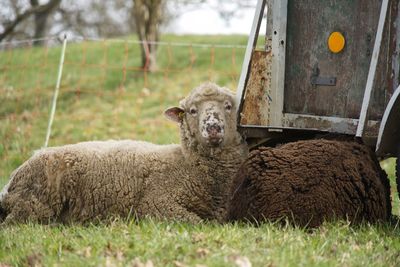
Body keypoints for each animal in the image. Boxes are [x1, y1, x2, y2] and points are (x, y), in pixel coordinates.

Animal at [0, 82, 248, 225]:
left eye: (228, 106)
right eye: (192, 111)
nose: (213, 127)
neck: (188, 165)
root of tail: (12, 180)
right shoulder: (155, 204)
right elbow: (198, 222)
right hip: (34, 205)